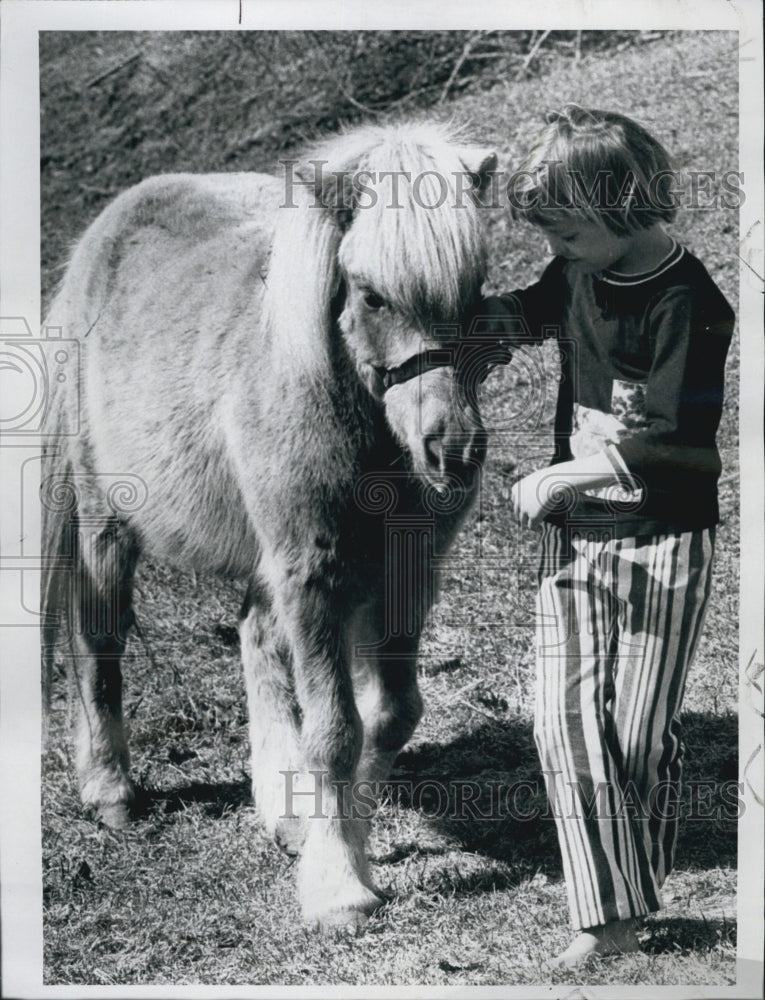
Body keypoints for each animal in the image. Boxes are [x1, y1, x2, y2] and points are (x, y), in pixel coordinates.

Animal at [40, 123, 496, 928]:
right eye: (372, 294)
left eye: (475, 288)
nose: (454, 451)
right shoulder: (312, 573)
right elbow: (336, 732)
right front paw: (338, 886)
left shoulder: (401, 577)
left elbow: (391, 716)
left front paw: (334, 839)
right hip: (105, 524)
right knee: (98, 642)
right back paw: (110, 792)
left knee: (255, 639)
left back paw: (281, 810)